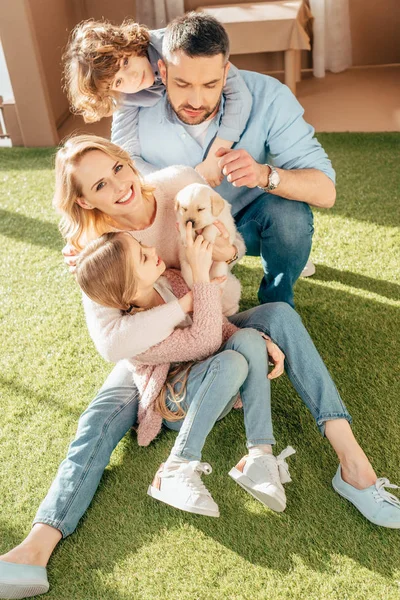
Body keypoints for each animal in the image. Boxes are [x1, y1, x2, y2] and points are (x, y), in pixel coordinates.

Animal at [174, 183, 241, 316]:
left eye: (201, 209)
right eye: (184, 208)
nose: (190, 221)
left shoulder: (223, 224)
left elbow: (212, 226)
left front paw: (206, 237)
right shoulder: (180, 220)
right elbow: (183, 226)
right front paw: (186, 237)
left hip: (219, 268)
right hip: (187, 271)